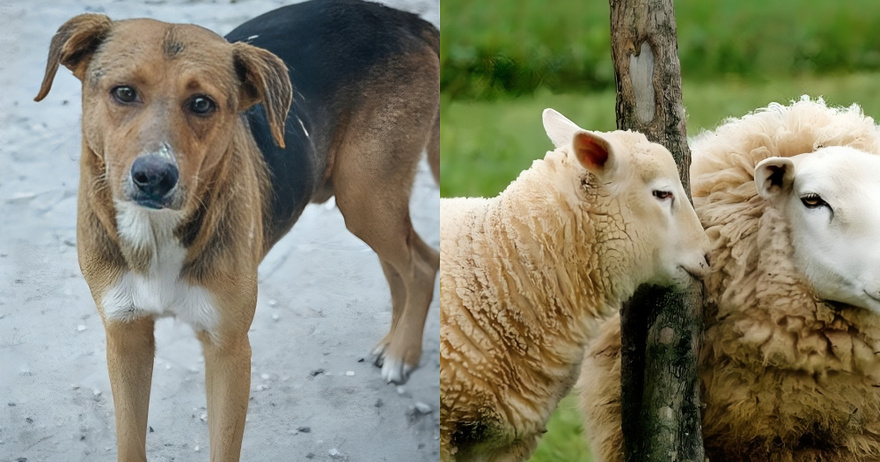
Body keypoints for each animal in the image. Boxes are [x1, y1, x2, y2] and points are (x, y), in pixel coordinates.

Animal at [34, 1, 440, 460]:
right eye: (123, 93)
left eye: (202, 103)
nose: (154, 176)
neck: (156, 232)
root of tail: (405, 20)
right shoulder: (125, 336)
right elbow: (130, 442)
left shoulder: (228, 349)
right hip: (368, 204)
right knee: (402, 266)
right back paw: (393, 343)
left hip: (366, 197)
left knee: (423, 265)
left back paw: (403, 352)